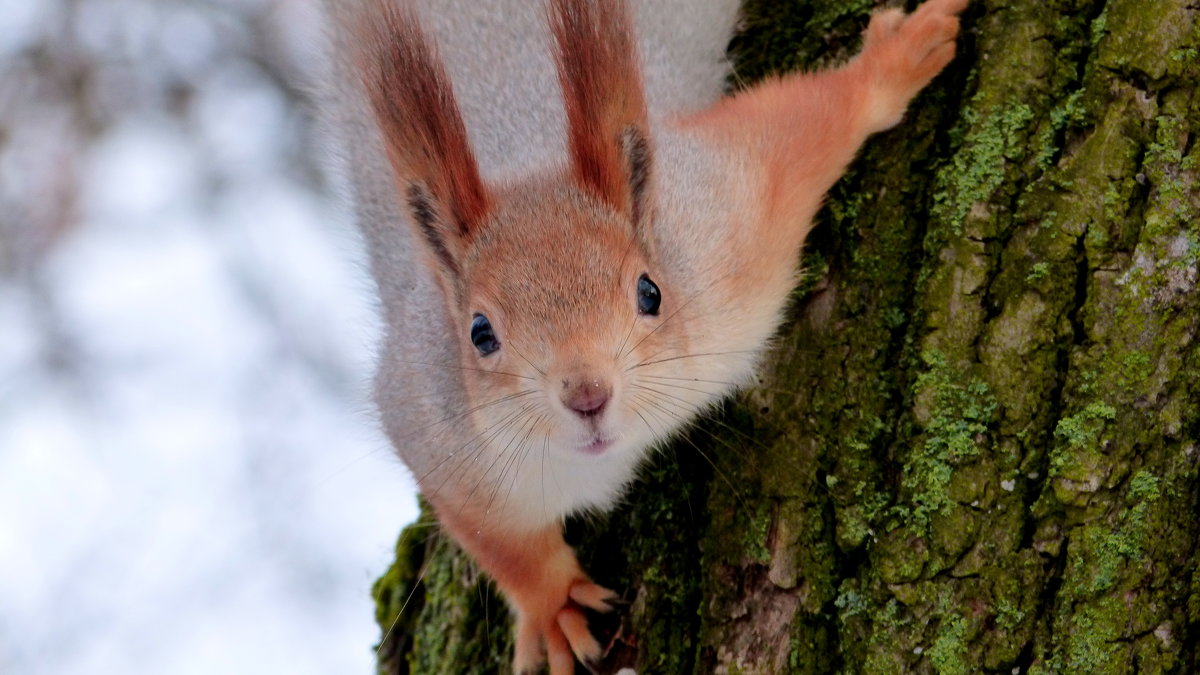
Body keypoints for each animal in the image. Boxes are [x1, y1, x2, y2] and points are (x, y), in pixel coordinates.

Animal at [324, 0, 969, 667]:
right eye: (480, 333)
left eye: (649, 292)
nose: (587, 396)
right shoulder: (437, 435)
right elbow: (505, 544)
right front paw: (552, 606)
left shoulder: (732, 222)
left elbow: (803, 127)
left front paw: (891, 63)